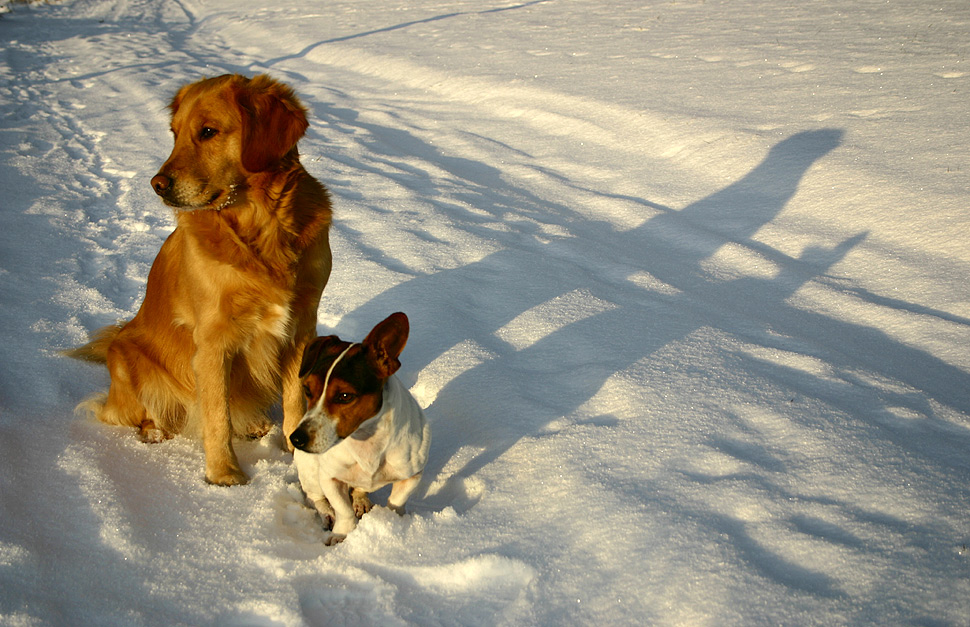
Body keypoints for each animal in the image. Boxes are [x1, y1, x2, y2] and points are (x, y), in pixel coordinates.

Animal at [290, 314, 430, 544]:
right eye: (307, 390)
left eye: (345, 396)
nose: (296, 439)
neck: (367, 441)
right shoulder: (329, 478)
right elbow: (343, 510)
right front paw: (341, 534)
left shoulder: (412, 476)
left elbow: (397, 501)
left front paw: (394, 522)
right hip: (309, 470)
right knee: (315, 497)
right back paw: (327, 513)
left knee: (359, 490)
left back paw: (361, 500)